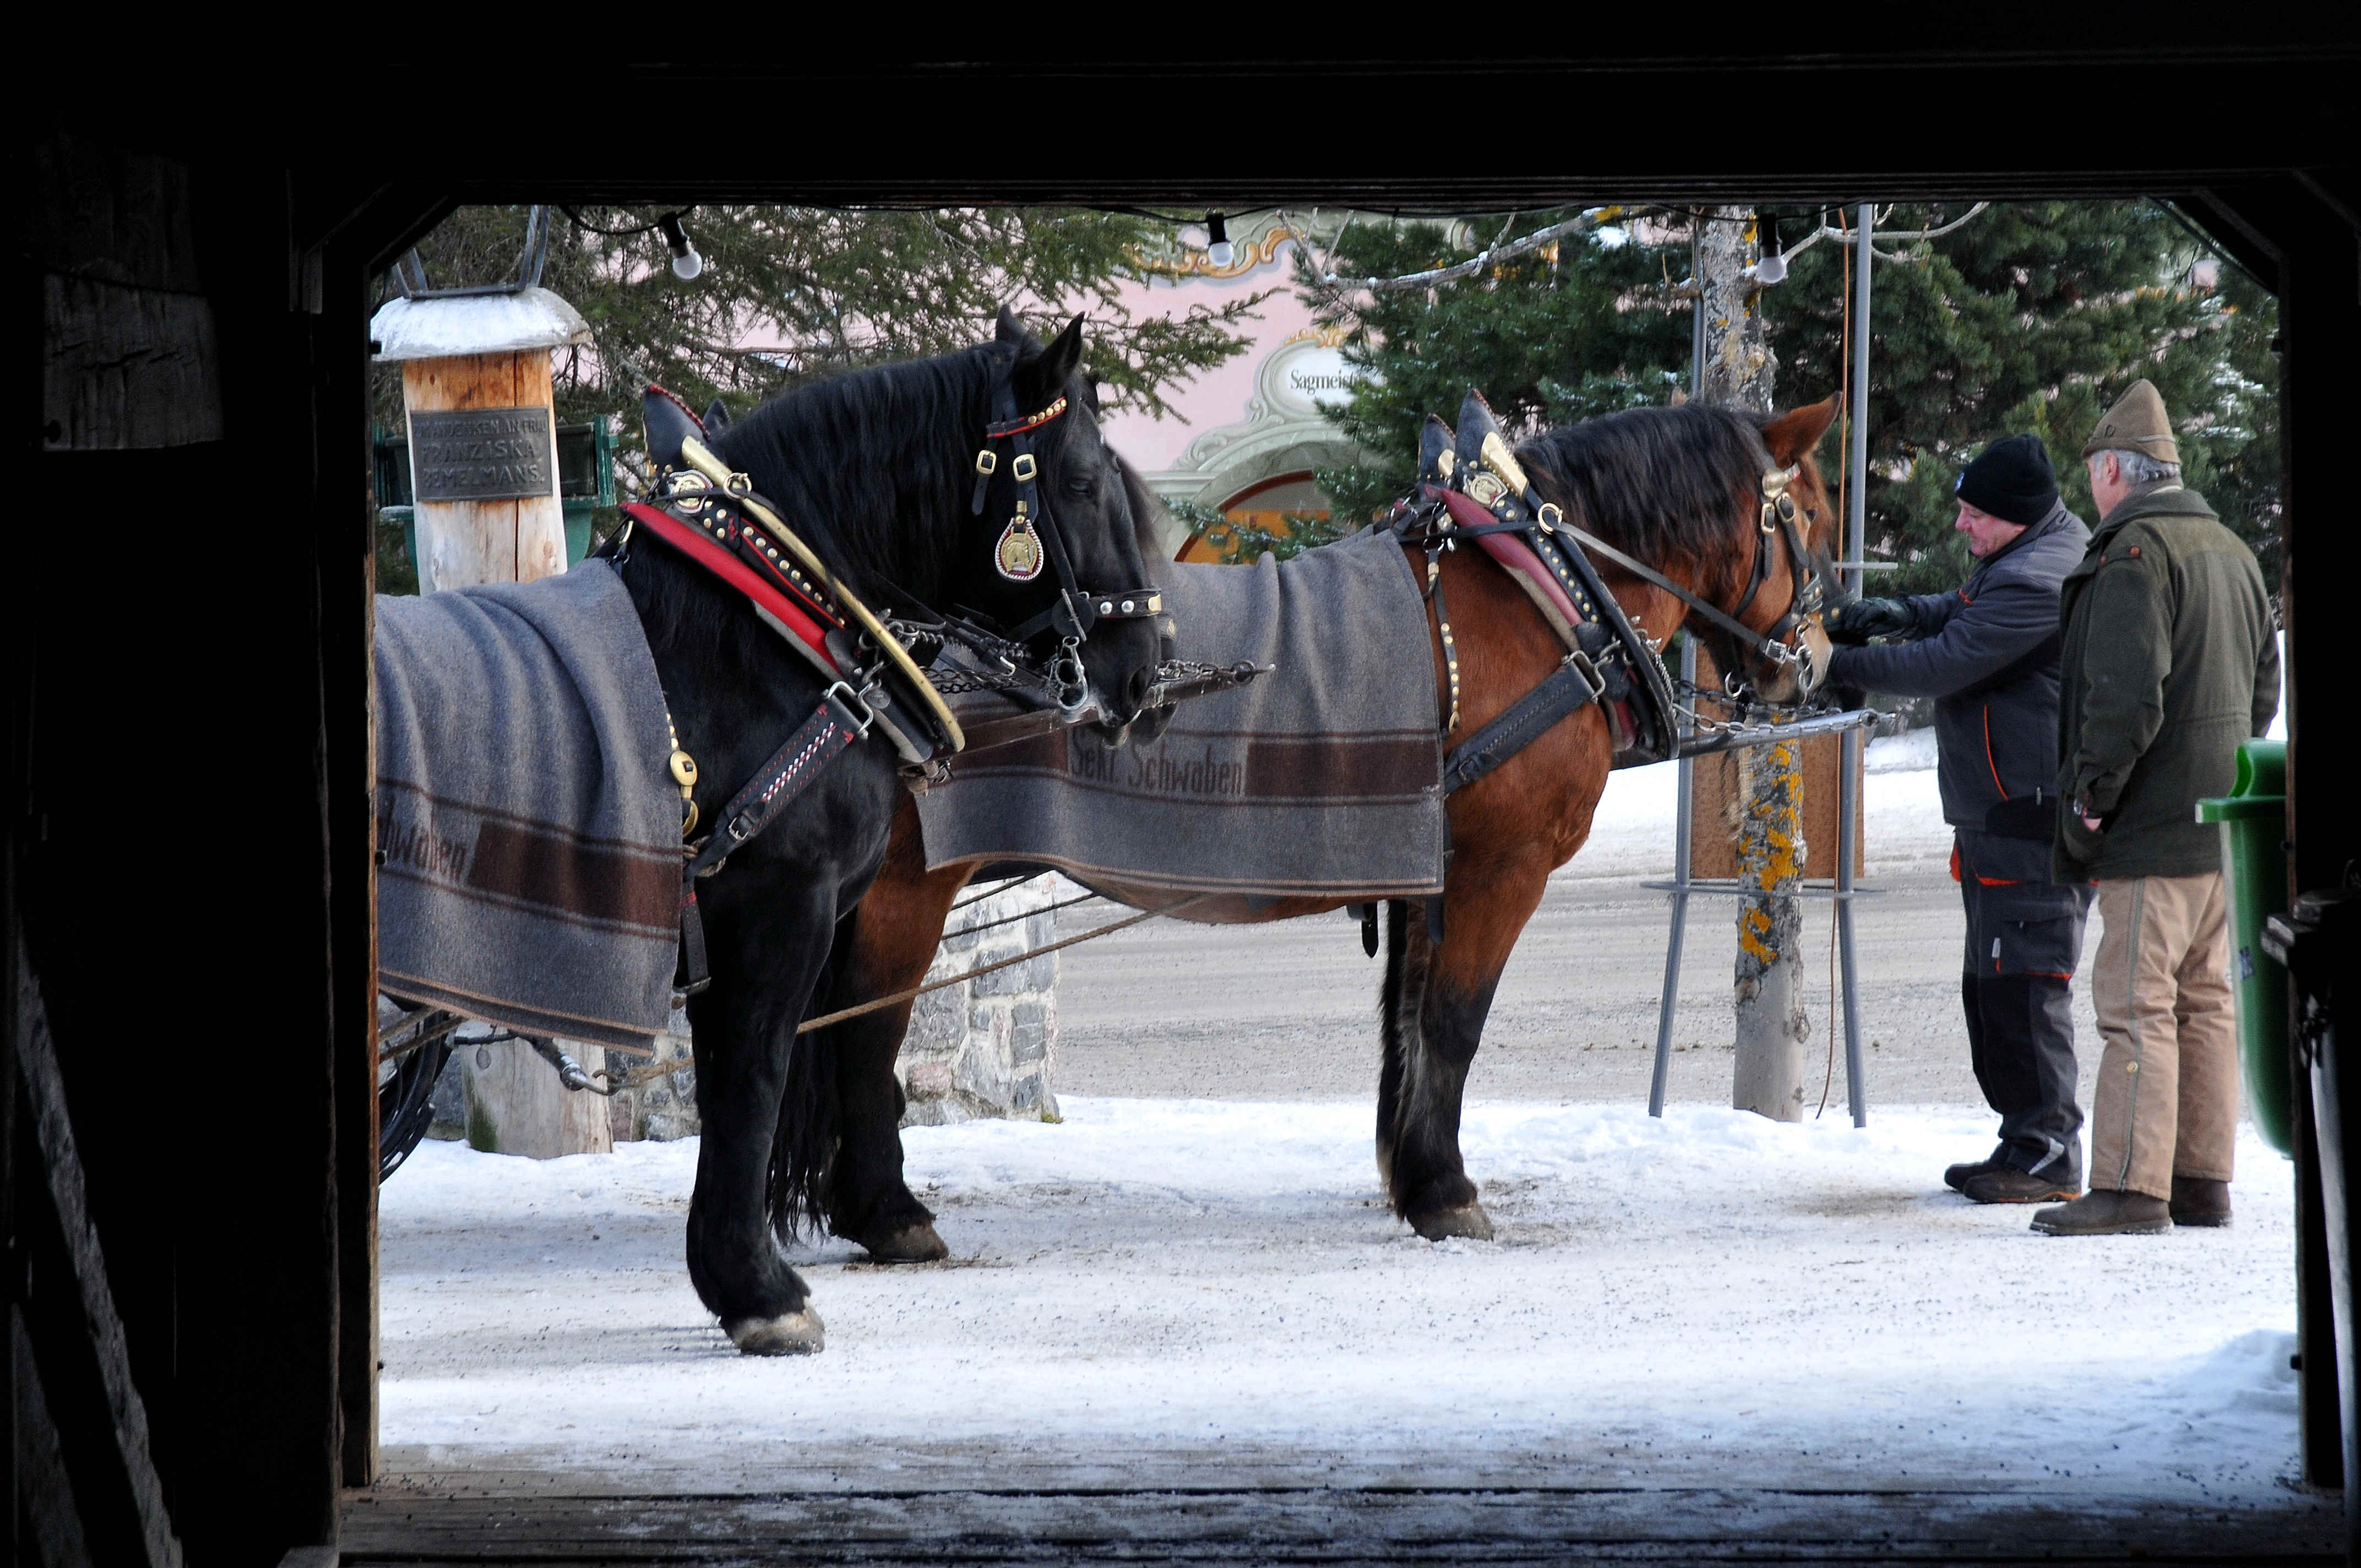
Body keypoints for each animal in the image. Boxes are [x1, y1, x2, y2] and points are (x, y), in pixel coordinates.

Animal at [609, 316, 1161, 1351]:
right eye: (1078, 481)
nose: (1145, 672)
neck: (752, 637)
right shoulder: (776, 910)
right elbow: (755, 1081)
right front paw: (757, 1286)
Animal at [774, 394, 1841, 1265]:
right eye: (1812, 516)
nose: (1819, 660)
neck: (1541, 589)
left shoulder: (1424, 859)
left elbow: (1408, 1026)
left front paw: (1413, 1178)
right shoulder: (1502, 866)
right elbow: (1453, 1025)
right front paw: (1448, 1194)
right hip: (905, 891)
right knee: (862, 1037)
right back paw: (888, 1213)